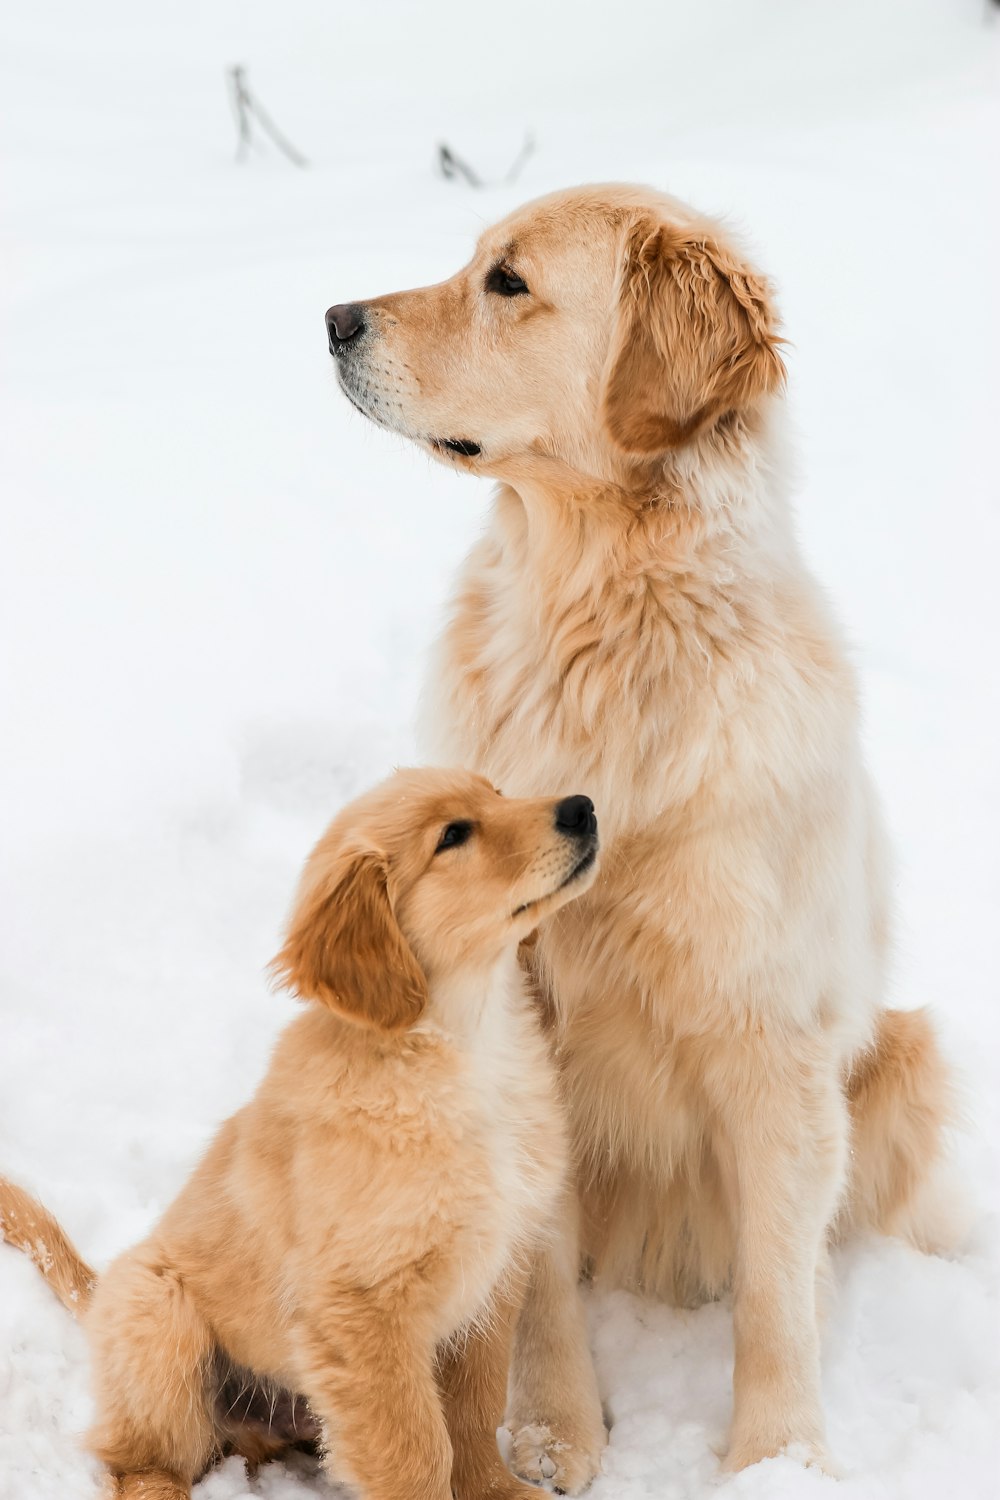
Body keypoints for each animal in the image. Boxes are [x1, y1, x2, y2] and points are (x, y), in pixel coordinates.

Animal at [0, 774, 593, 1500]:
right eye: (453, 835)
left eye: (497, 792)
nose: (582, 808)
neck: (468, 1042)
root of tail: (105, 1284)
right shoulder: (363, 1309)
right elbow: (416, 1451)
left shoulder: (491, 1282)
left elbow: (472, 1416)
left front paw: (496, 1490)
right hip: (161, 1318)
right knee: (139, 1459)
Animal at [325, 184, 959, 1476]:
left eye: (507, 282)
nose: (333, 320)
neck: (600, 622)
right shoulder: (527, 1020)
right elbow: (541, 1275)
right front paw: (549, 1436)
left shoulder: (771, 1036)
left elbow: (774, 1293)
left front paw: (777, 1461)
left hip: (907, 1058)